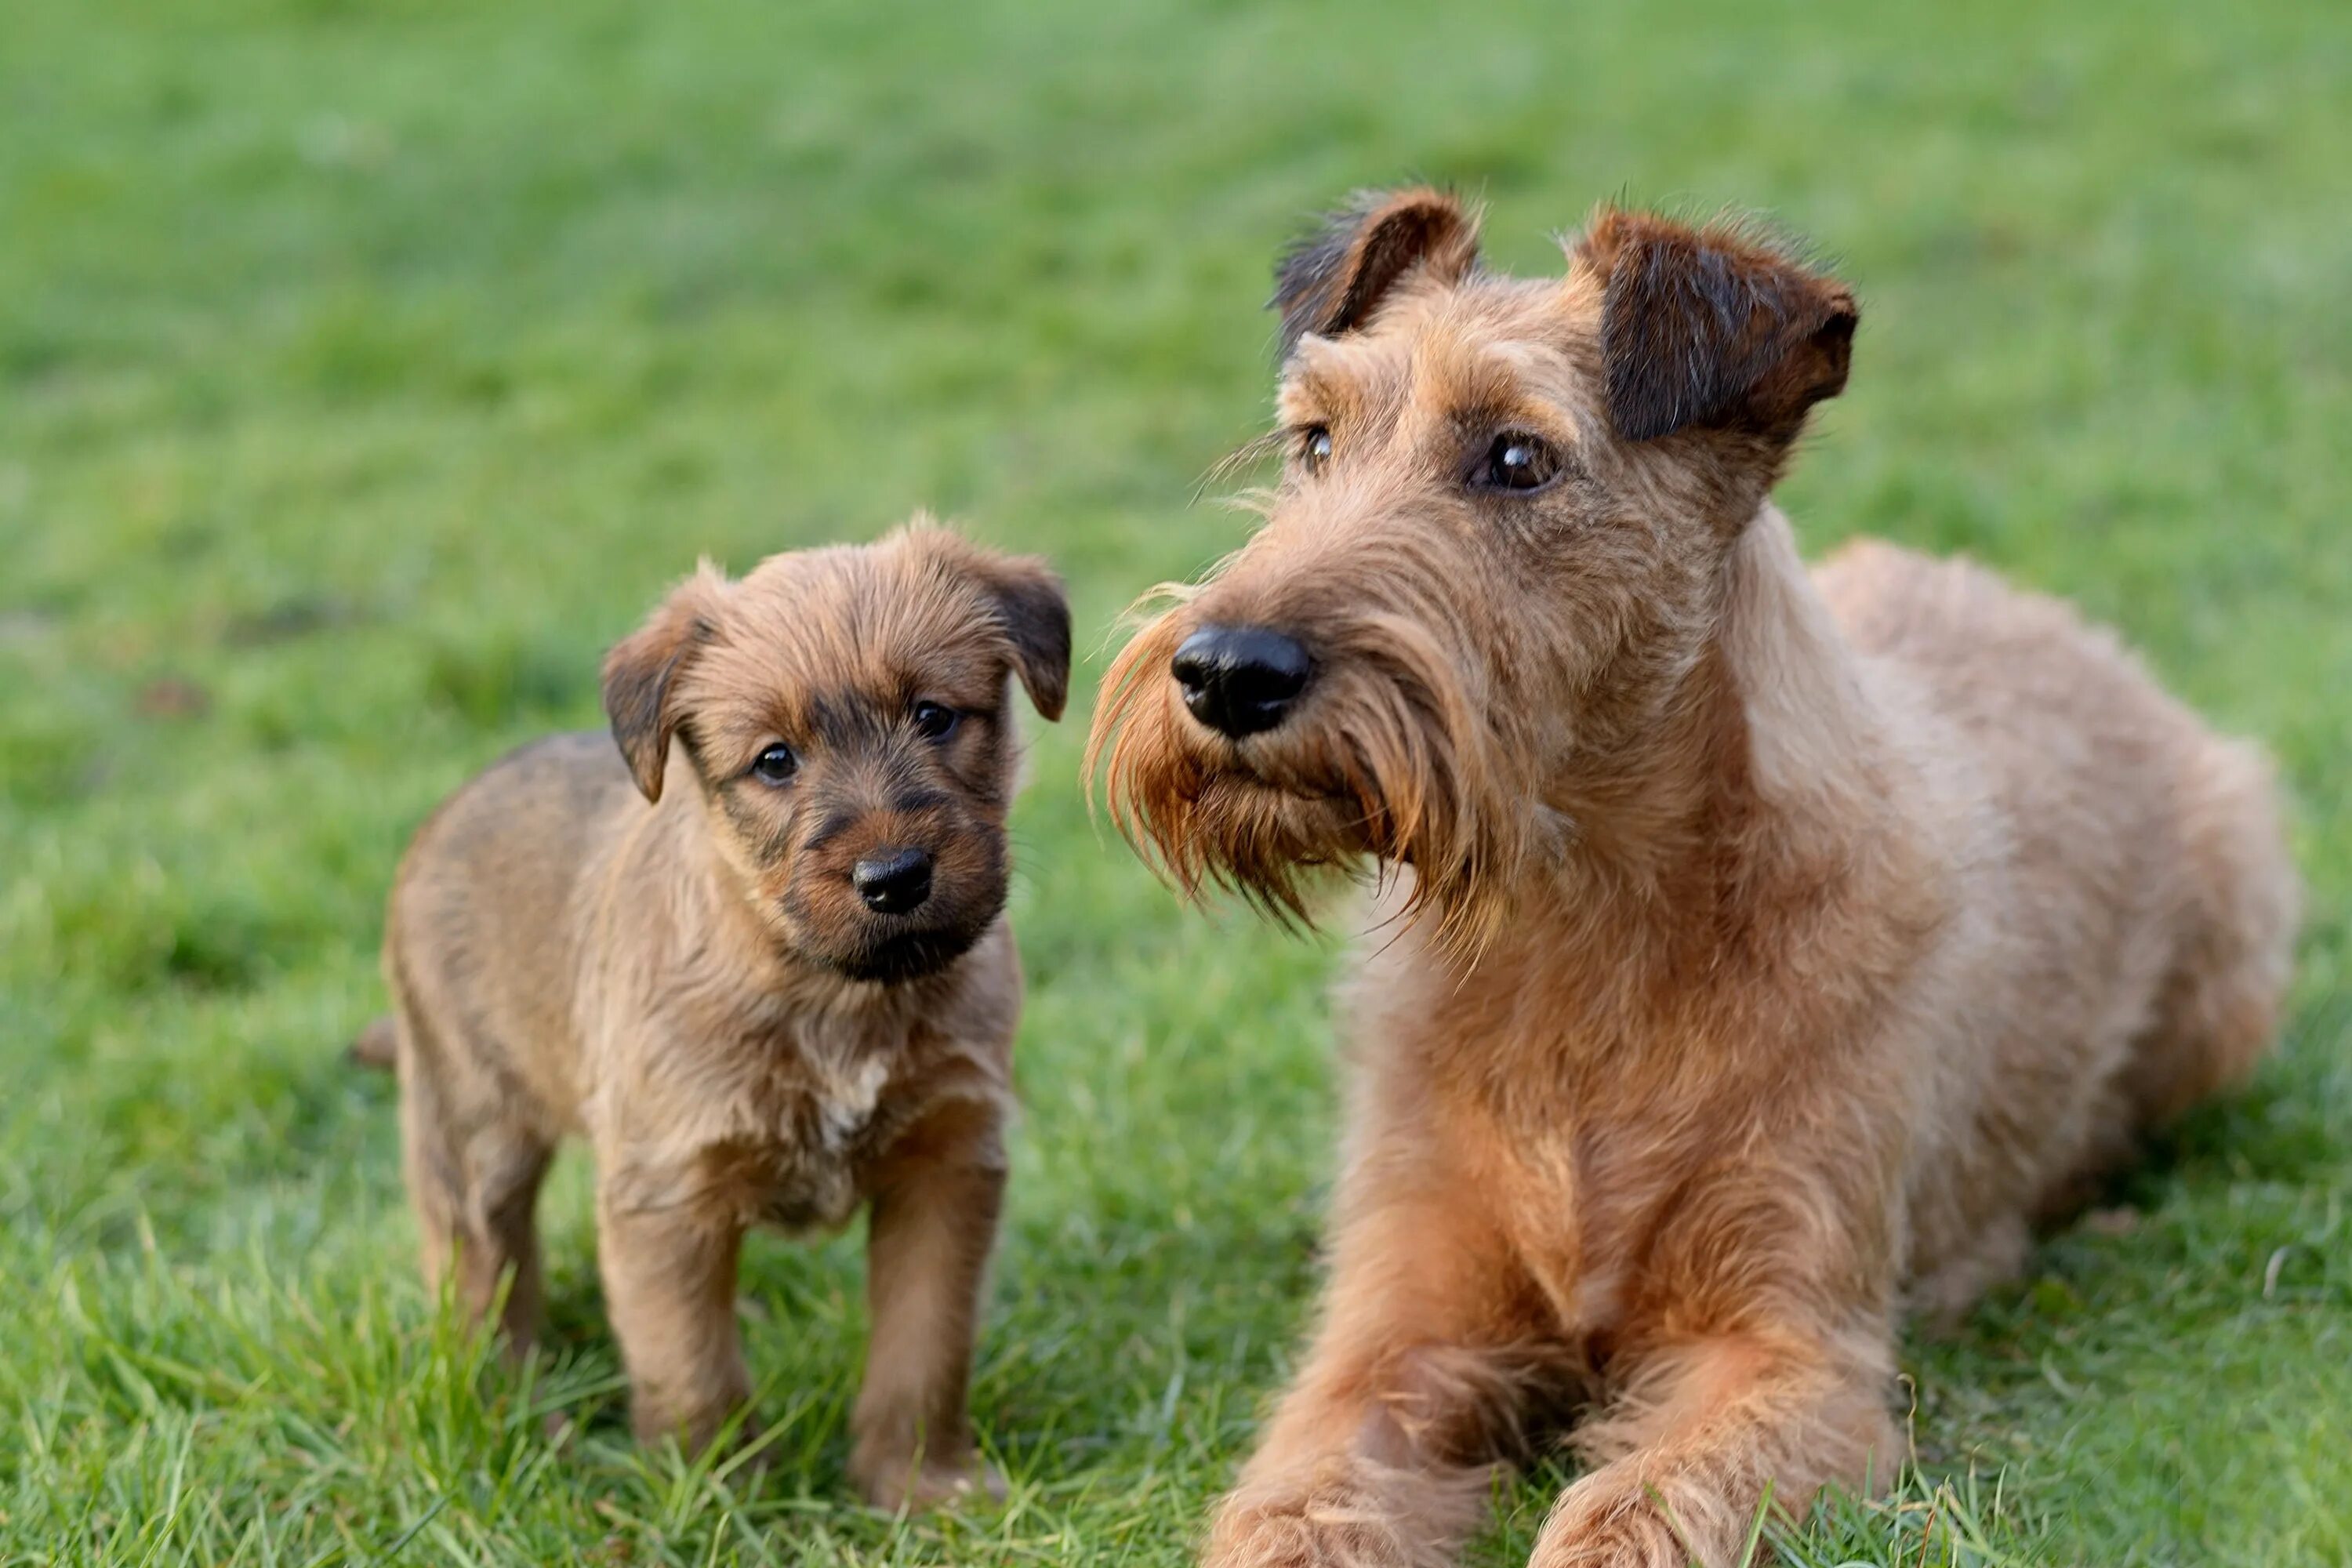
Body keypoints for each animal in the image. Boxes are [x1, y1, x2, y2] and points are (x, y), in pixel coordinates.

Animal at [374, 524, 1068, 1504]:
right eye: (775, 759)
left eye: (934, 715)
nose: (894, 876)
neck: (833, 993)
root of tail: (451, 806)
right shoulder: (669, 1192)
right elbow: (691, 1364)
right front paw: (713, 1494)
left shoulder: (948, 1160)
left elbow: (923, 1345)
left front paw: (919, 1484)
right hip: (470, 1130)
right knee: (482, 1277)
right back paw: (518, 1418)